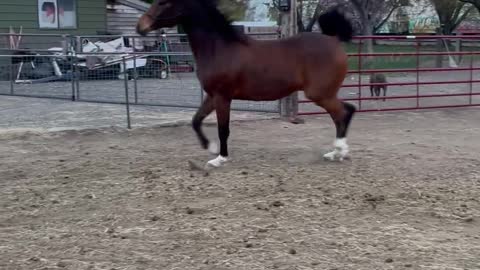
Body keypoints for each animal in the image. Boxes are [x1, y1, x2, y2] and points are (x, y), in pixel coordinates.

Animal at [135, 0, 356, 168]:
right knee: (347, 110)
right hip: (326, 94)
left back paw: (339, 152)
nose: (140, 26)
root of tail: (334, 40)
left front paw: (220, 158)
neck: (219, 48)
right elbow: (196, 120)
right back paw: (337, 153)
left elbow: (223, 129)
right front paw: (210, 147)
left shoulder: (223, 97)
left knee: (342, 113)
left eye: (164, 2)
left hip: (319, 94)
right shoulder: (212, 96)